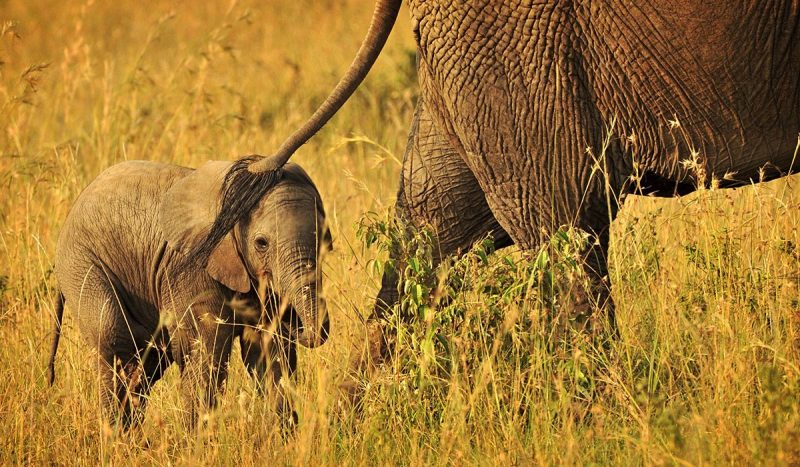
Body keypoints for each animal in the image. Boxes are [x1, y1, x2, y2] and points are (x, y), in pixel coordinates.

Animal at [48, 158, 332, 429]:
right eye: (261, 243)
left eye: (325, 240)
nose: (295, 324)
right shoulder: (190, 269)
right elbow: (207, 351)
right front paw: (196, 441)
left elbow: (270, 353)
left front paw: (284, 437)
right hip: (81, 265)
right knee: (114, 341)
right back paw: (116, 437)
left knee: (147, 363)